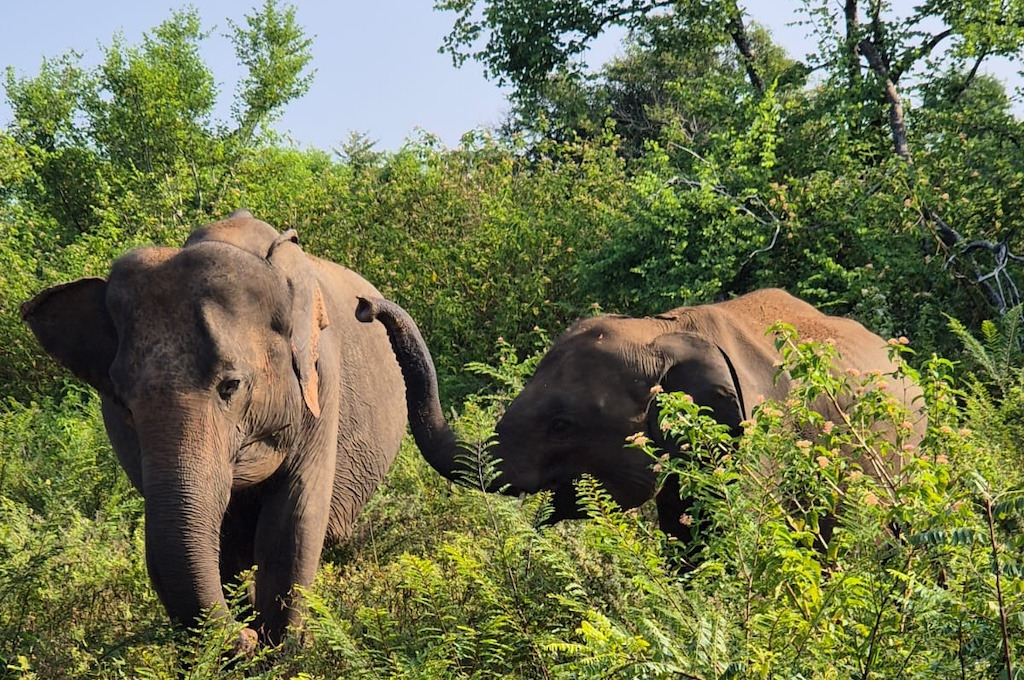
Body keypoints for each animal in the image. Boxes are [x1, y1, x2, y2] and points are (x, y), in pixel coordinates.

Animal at [22, 213, 405, 647]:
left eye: (230, 385)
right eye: (123, 402)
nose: (244, 635)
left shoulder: (322, 383)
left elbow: (291, 525)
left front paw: (282, 650)